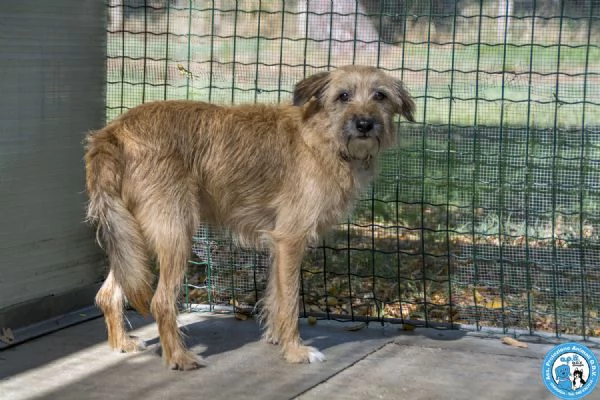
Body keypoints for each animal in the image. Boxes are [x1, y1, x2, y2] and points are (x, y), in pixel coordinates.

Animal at [85, 65, 412, 368]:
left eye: (380, 96)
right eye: (343, 96)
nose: (365, 124)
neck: (322, 137)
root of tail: (114, 131)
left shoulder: (279, 246)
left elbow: (277, 297)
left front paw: (278, 339)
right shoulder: (290, 240)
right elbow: (290, 302)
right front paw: (296, 351)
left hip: (133, 238)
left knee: (109, 292)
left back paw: (123, 343)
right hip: (175, 234)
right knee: (161, 301)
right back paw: (179, 357)